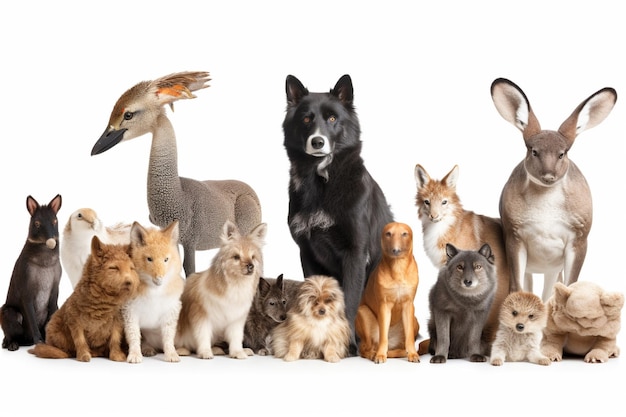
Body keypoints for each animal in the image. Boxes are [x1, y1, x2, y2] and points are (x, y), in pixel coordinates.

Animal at [0, 193, 62, 350]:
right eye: (37, 223)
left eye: (55, 221)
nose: (51, 240)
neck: (45, 262)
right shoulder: (26, 291)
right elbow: (32, 318)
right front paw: (39, 341)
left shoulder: (54, 291)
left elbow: (51, 316)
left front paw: (49, 342)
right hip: (7, 311)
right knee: (10, 334)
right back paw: (11, 345)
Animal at [173, 219, 266, 360]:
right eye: (236, 257)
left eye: (253, 257)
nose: (251, 266)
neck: (236, 285)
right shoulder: (202, 316)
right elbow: (203, 336)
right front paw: (205, 352)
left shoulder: (236, 320)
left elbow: (236, 338)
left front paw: (238, 352)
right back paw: (183, 350)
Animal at [282, 73, 390, 352]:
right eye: (306, 119)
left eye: (332, 118)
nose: (317, 141)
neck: (322, 181)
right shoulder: (307, 251)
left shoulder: (355, 252)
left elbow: (349, 301)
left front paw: (346, 343)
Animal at [356, 221, 420, 360]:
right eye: (388, 234)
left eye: (404, 234)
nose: (395, 250)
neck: (398, 268)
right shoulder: (384, 306)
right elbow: (383, 336)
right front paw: (380, 355)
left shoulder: (408, 305)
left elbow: (410, 338)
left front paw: (413, 354)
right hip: (363, 313)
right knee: (365, 349)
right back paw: (373, 354)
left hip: (414, 320)